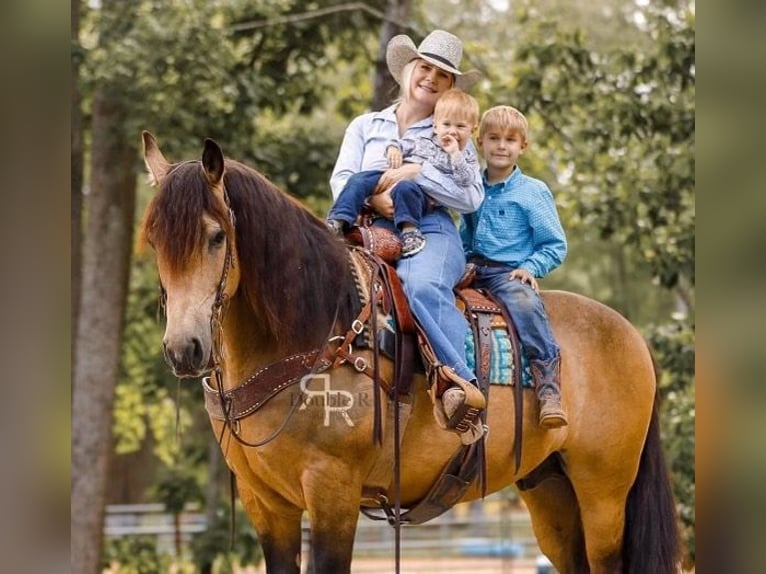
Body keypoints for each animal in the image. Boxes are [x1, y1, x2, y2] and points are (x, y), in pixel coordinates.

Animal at [140, 133, 684, 572]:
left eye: (216, 236)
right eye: (153, 242)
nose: (184, 348)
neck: (317, 331)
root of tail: (633, 337)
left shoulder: (332, 492)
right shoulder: (266, 504)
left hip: (604, 491)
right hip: (549, 486)